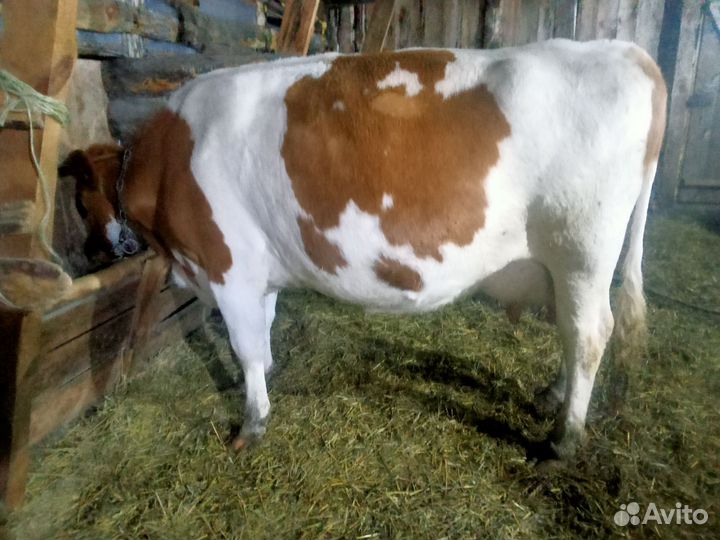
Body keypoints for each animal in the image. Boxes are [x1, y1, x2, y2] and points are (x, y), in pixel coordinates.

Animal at [62, 39, 666, 460]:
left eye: (79, 199)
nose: (88, 252)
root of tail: (626, 52)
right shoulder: (257, 266)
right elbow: (265, 328)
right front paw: (268, 378)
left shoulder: (227, 265)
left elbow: (246, 346)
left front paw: (251, 423)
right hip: (567, 265)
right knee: (572, 330)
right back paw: (552, 396)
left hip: (581, 249)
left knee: (588, 334)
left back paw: (563, 440)